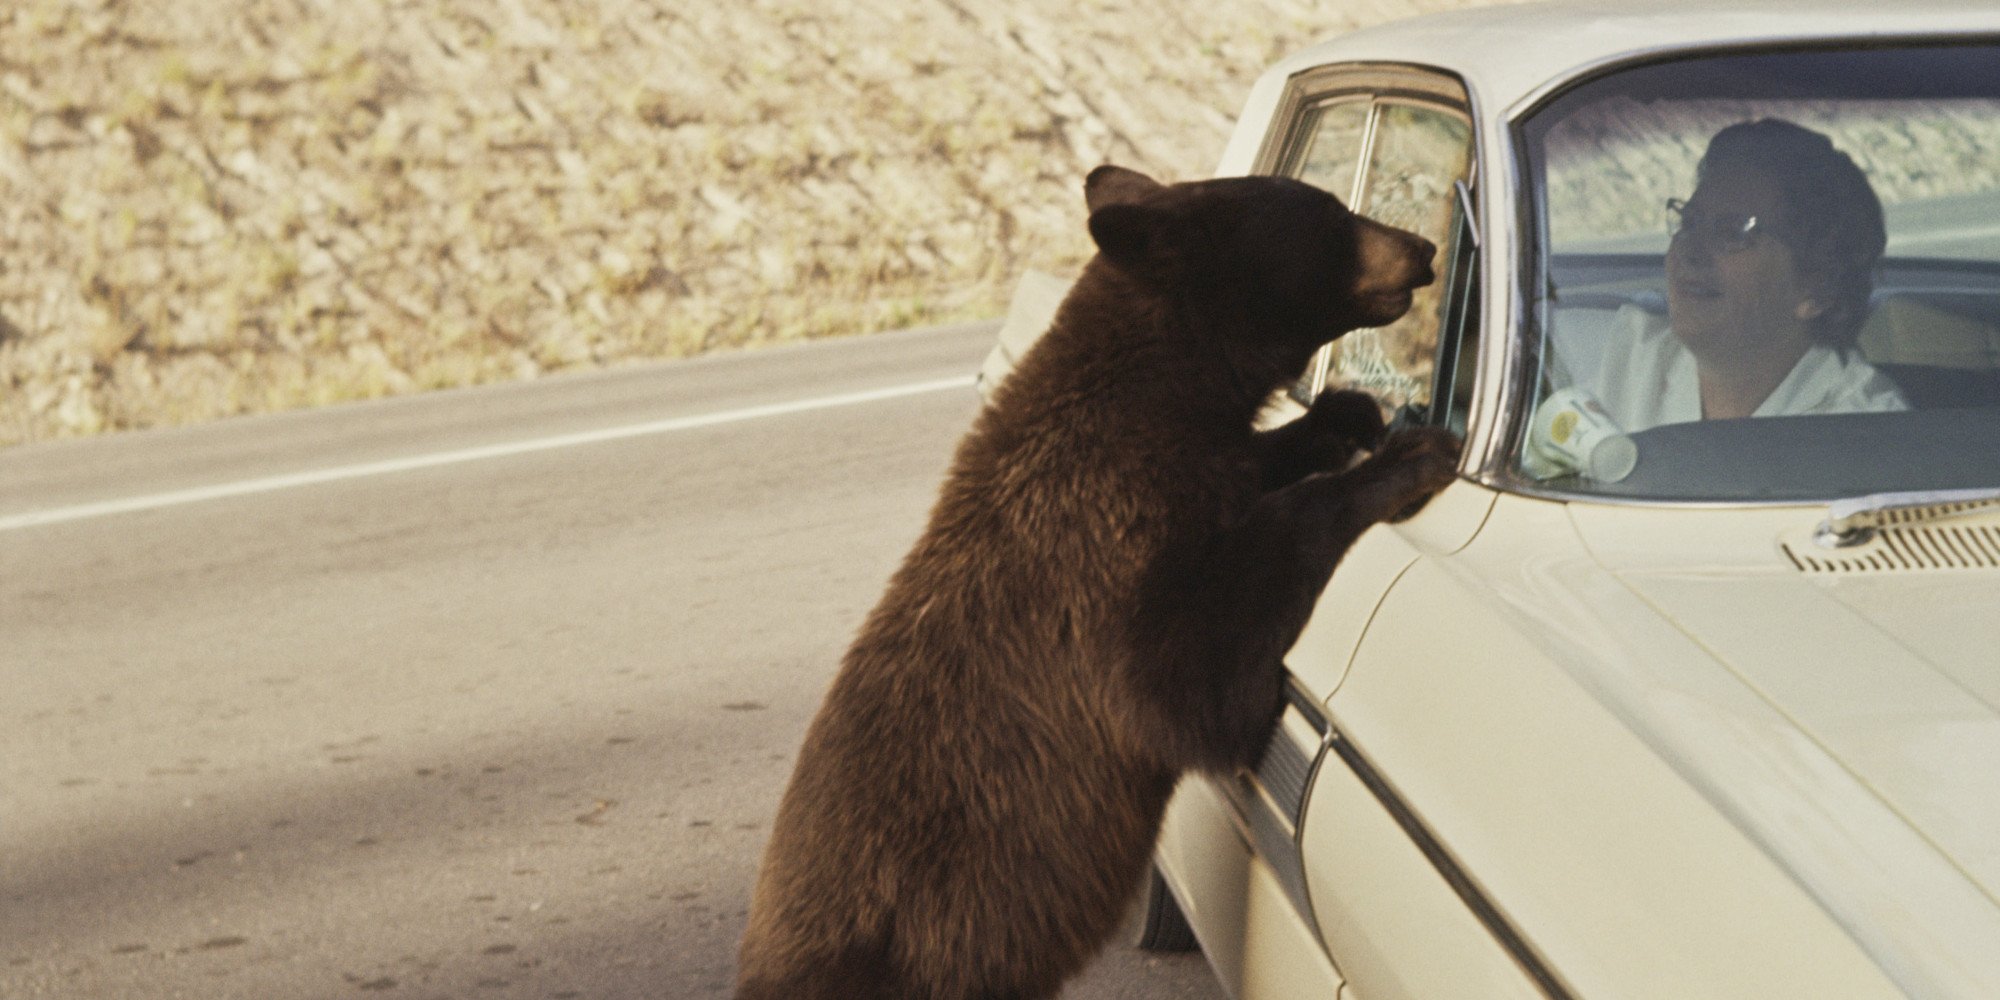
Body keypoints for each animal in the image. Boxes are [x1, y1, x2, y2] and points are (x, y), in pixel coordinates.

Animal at [732, 166, 1456, 1000]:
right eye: (1332, 213)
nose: (1422, 246)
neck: (1154, 393)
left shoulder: (1191, 464)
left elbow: (1250, 462)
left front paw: (1346, 412)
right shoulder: (1098, 568)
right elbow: (1203, 684)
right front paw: (1411, 456)